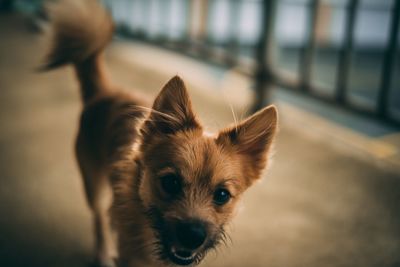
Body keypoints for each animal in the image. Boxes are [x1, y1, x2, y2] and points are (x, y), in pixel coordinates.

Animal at [41, 1, 278, 266]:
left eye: (222, 195)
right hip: (94, 185)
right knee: (99, 218)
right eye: (170, 182)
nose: (193, 236)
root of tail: (103, 93)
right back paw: (102, 253)